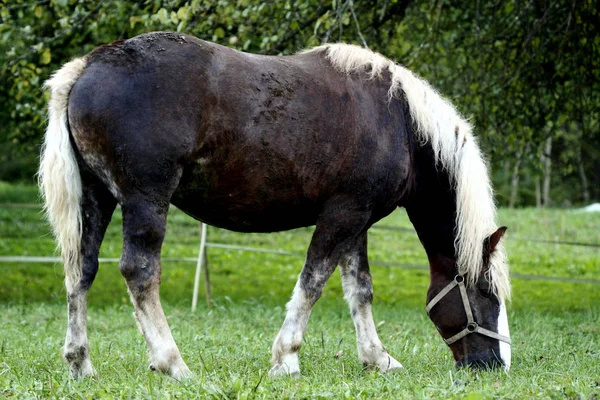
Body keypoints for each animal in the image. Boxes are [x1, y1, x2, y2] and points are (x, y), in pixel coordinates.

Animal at [39, 31, 510, 378]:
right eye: (486, 292)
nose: (494, 365)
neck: (399, 123)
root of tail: (87, 66)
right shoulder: (343, 215)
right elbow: (313, 283)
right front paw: (287, 357)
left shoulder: (357, 221)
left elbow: (360, 290)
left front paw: (378, 359)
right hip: (145, 200)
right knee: (139, 272)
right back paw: (173, 363)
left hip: (96, 199)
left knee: (80, 271)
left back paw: (81, 364)